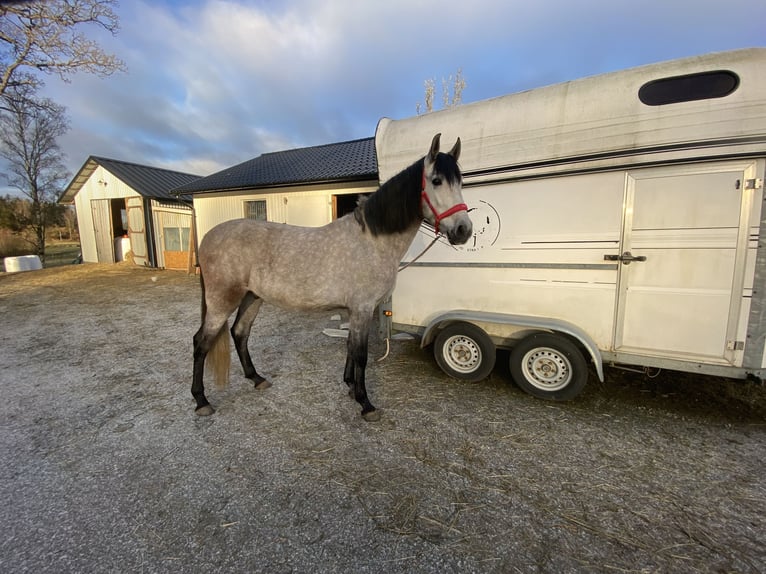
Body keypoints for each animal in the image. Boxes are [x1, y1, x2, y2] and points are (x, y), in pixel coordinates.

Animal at [190, 135, 474, 424]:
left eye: (460, 182)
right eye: (436, 180)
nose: (464, 230)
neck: (372, 241)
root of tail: (208, 236)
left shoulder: (355, 310)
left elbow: (349, 347)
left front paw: (350, 386)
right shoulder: (362, 308)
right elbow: (360, 354)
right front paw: (365, 403)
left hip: (252, 297)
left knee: (240, 333)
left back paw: (257, 379)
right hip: (222, 301)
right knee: (201, 342)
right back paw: (202, 401)